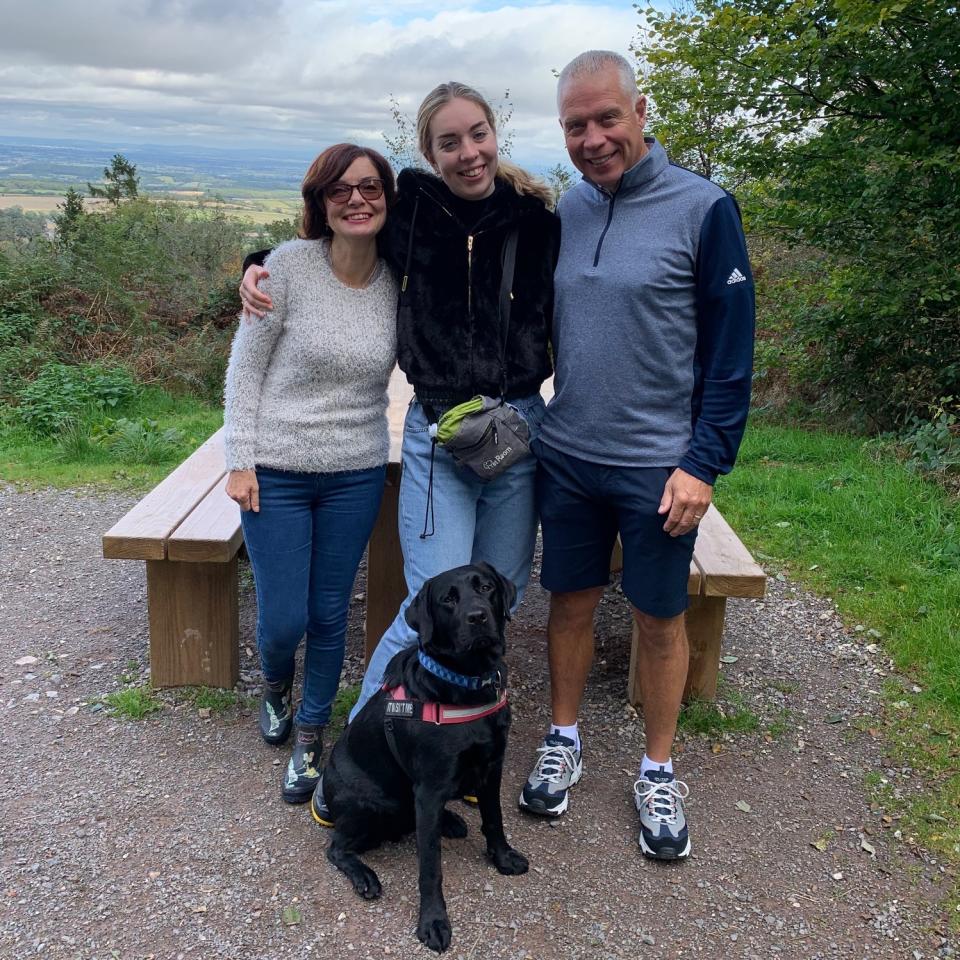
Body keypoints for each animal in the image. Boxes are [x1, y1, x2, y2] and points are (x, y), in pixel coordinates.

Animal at [326, 564, 528, 952]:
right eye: (448, 599)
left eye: (486, 587)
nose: (478, 616)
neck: (467, 683)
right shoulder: (431, 788)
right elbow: (431, 867)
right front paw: (433, 922)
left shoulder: (492, 766)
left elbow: (494, 819)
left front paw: (503, 857)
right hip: (371, 805)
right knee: (335, 848)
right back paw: (364, 876)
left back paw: (450, 820)